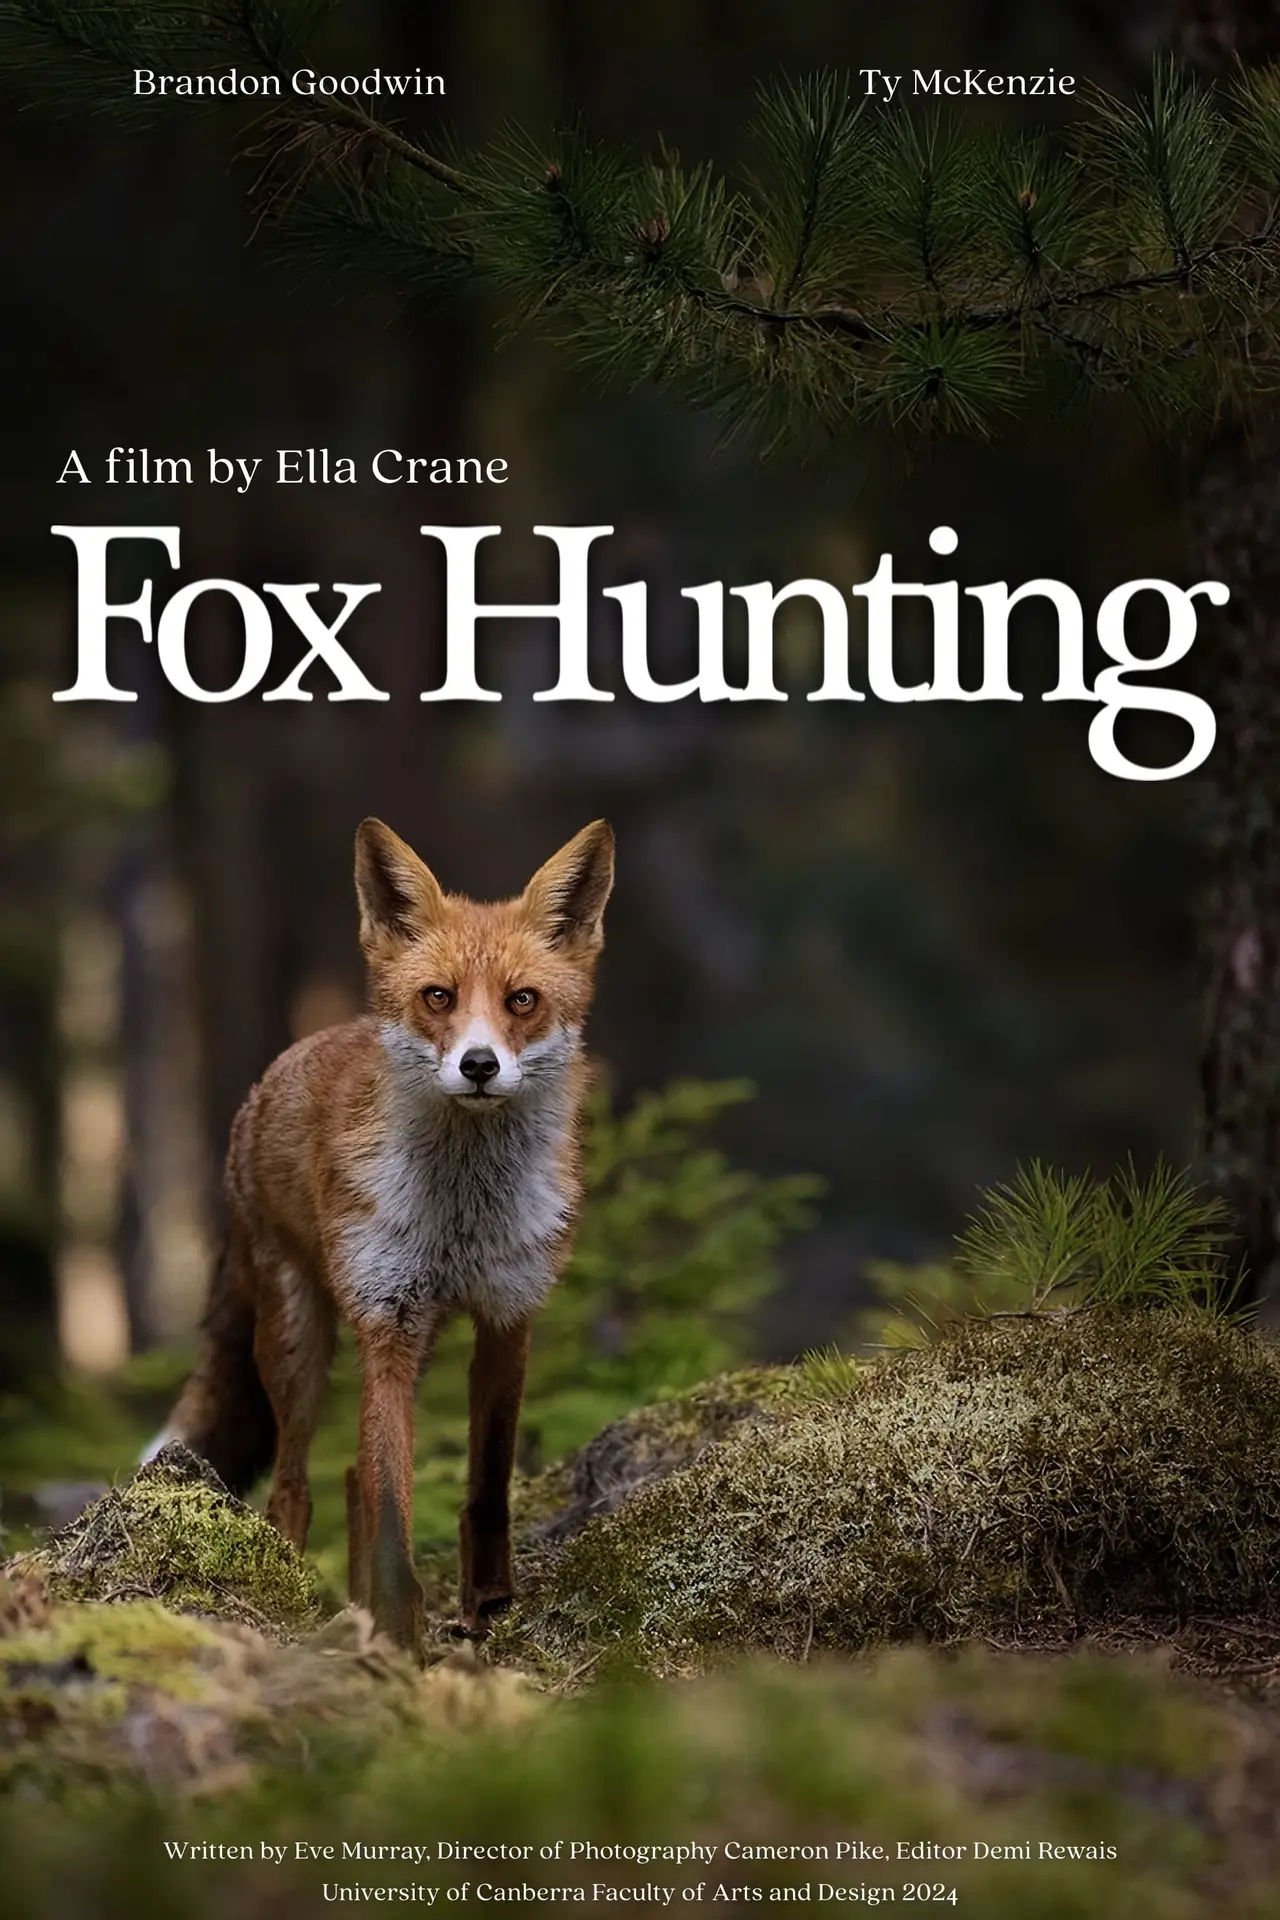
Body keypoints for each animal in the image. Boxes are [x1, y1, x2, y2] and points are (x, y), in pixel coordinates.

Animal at [150, 815, 614, 1650]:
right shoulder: (386, 1321)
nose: (478, 1064)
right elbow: (394, 1499)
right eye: (439, 997)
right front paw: (400, 1629)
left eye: (521, 1001)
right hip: (298, 1342)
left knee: (350, 1475)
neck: (462, 1211)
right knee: (296, 1487)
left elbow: (486, 1483)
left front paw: (488, 1603)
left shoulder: (508, 1312)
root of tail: (274, 1075)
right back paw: (303, 1593)